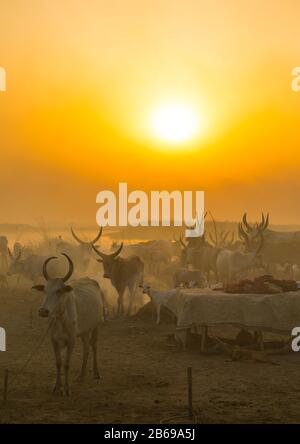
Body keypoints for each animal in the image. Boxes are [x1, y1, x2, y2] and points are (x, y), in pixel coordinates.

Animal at [32, 253, 104, 396]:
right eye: (45, 290)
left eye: (59, 291)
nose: (43, 311)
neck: (61, 319)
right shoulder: (54, 340)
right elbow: (58, 363)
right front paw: (57, 386)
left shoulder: (71, 340)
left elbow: (66, 364)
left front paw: (66, 389)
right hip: (84, 332)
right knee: (86, 349)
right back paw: (81, 376)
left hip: (96, 326)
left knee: (94, 347)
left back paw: (96, 373)